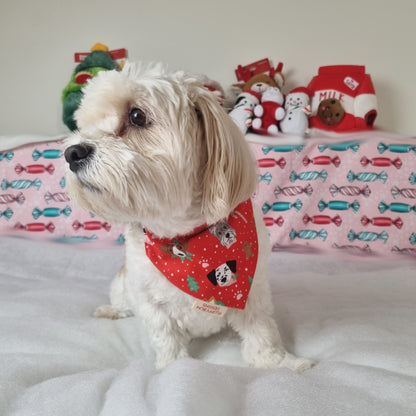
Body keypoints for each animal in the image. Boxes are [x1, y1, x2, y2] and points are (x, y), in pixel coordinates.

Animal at [64, 63, 312, 372]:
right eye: (84, 125)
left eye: (136, 115)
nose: (72, 152)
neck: (184, 239)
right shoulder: (151, 303)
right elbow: (165, 338)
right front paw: (173, 368)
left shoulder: (253, 293)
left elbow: (261, 331)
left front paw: (278, 362)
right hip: (122, 285)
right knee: (123, 303)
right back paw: (111, 310)